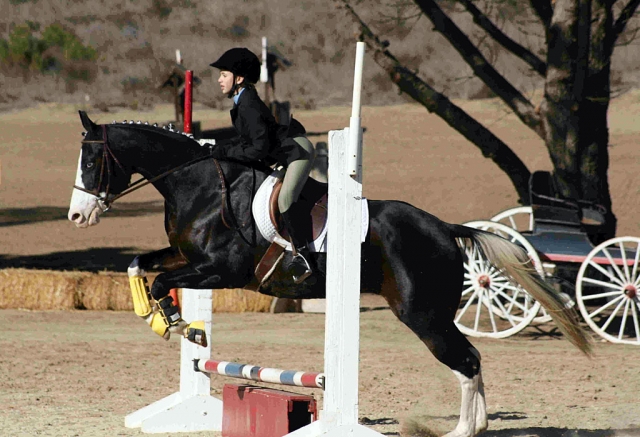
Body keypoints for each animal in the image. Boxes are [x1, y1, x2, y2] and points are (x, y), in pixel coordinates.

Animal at [66, 112, 592, 436]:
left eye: (91, 161)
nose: (77, 216)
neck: (197, 185)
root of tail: (444, 226)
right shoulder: (185, 258)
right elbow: (140, 265)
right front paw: (166, 320)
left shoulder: (220, 270)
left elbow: (160, 280)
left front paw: (177, 325)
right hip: (428, 313)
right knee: (472, 359)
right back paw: (476, 426)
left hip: (421, 313)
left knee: (466, 360)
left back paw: (462, 430)